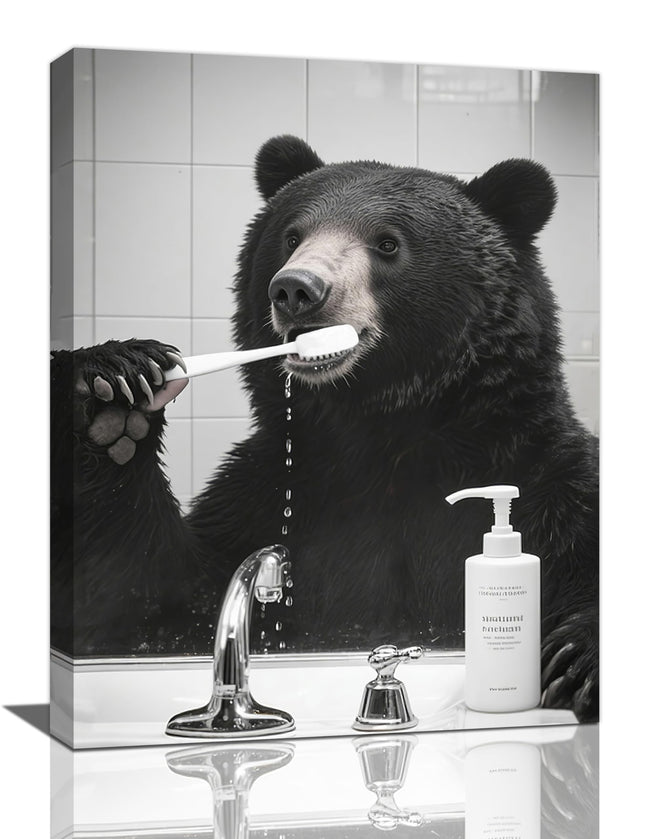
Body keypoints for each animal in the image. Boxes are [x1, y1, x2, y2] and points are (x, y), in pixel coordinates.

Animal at [50, 134, 599, 722]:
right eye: (293, 234)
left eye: (388, 242)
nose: (296, 289)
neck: (383, 426)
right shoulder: (279, 493)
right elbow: (148, 601)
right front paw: (111, 394)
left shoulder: (547, 483)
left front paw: (575, 661)